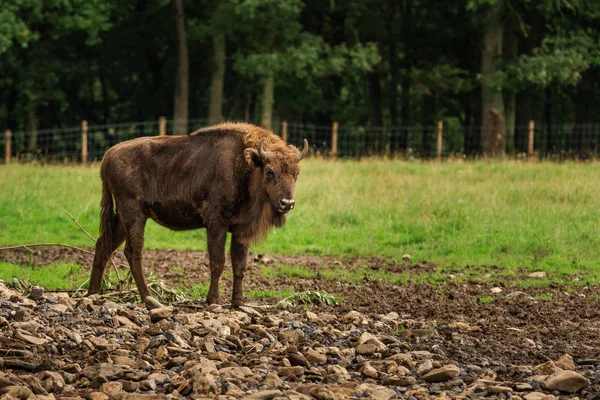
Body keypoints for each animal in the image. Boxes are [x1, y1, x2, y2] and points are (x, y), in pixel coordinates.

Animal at [88, 123, 310, 308]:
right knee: (133, 252)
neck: (244, 164)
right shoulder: (216, 223)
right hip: (134, 214)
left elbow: (240, 266)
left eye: (296, 173)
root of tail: (107, 156)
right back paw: (149, 299)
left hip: (123, 218)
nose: (287, 203)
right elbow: (217, 262)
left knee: (103, 245)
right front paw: (213, 301)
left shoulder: (241, 231)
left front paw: (238, 303)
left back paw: (93, 294)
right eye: (270, 171)